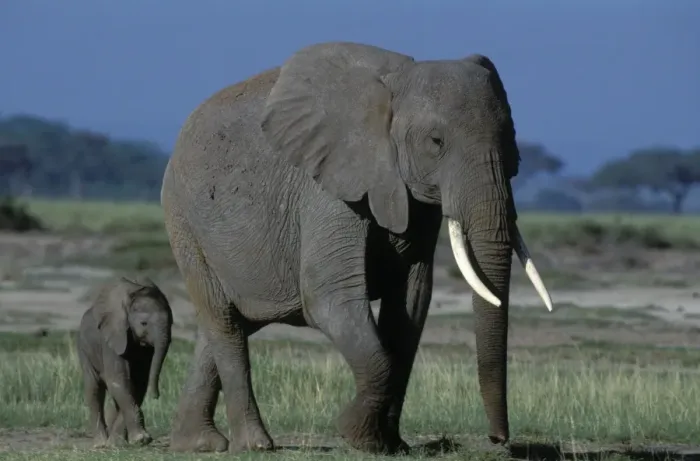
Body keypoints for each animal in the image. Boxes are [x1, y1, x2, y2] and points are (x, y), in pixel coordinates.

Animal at [76, 275, 173, 447]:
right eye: (143, 323)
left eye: (172, 322)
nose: (156, 396)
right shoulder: (111, 338)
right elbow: (119, 381)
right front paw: (142, 439)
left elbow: (137, 384)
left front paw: (119, 443)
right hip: (84, 348)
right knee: (93, 388)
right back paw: (100, 443)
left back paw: (110, 441)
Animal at [161, 41, 553, 455]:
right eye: (436, 142)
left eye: (510, 139)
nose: (498, 439)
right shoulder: (328, 189)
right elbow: (330, 299)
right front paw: (354, 435)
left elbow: (410, 304)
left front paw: (391, 444)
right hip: (184, 222)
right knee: (223, 321)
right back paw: (255, 445)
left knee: (227, 323)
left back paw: (197, 443)